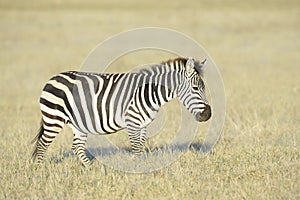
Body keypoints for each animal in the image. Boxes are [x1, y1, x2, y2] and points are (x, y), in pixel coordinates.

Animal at [31, 57, 211, 166]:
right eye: (196, 88)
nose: (208, 114)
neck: (148, 92)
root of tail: (53, 78)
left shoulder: (143, 124)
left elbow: (140, 147)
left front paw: (139, 168)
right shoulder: (132, 122)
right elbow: (136, 147)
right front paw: (136, 171)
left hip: (77, 123)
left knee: (77, 147)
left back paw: (92, 170)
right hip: (54, 119)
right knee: (42, 145)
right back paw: (41, 171)